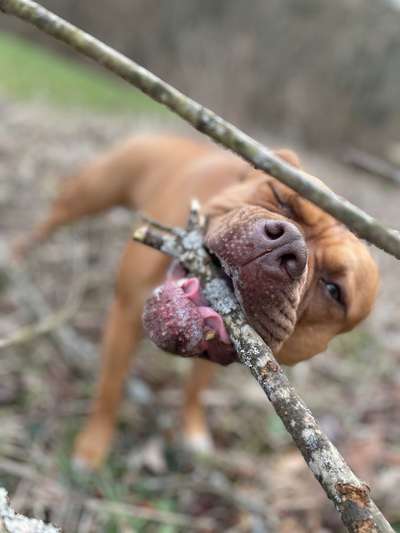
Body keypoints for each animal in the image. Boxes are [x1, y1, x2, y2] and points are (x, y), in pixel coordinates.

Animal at [12, 135, 380, 468]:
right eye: (281, 198)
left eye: (334, 290)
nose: (287, 246)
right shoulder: (125, 314)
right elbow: (110, 389)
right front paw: (93, 447)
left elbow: (195, 388)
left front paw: (192, 430)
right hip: (89, 195)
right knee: (51, 221)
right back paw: (16, 255)